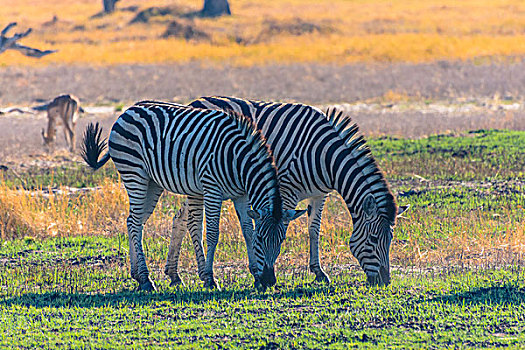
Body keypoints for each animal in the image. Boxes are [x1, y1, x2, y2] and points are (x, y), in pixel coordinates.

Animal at [80, 102, 304, 292]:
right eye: (262, 239)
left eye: (282, 240)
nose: (270, 280)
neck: (239, 161)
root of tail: (127, 111)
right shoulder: (213, 189)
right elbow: (213, 233)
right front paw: (211, 279)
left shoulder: (241, 196)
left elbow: (247, 230)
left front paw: (256, 277)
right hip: (134, 173)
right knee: (135, 223)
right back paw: (146, 280)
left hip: (152, 183)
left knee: (133, 222)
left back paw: (136, 274)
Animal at [166, 96, 408, 288]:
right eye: (374, 239)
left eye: (391, 239)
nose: (384, 282)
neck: (324, 157)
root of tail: (196, 101)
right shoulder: (287, 190)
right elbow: (278, 228)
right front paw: (265, 272)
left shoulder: (320, 194)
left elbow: (313, 230)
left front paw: (319, 272)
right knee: (190, 220)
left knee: (180, 218)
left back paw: (174, 275)